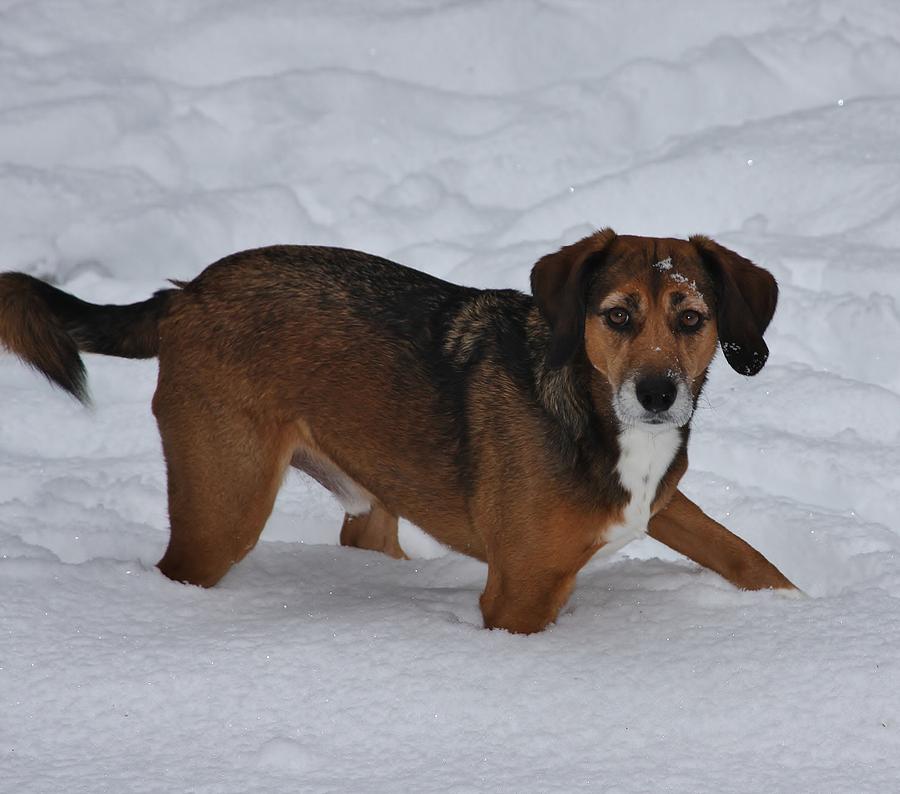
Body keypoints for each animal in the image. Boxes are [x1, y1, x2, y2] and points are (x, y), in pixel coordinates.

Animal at [0, 227, 796, 632]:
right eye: (619, 316)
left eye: (692, 319)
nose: (658, 394)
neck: (595, 415)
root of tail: (183, 293)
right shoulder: (520, 593)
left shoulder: (662, 505)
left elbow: (745, 554)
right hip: (222, 507)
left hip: (367, 489)